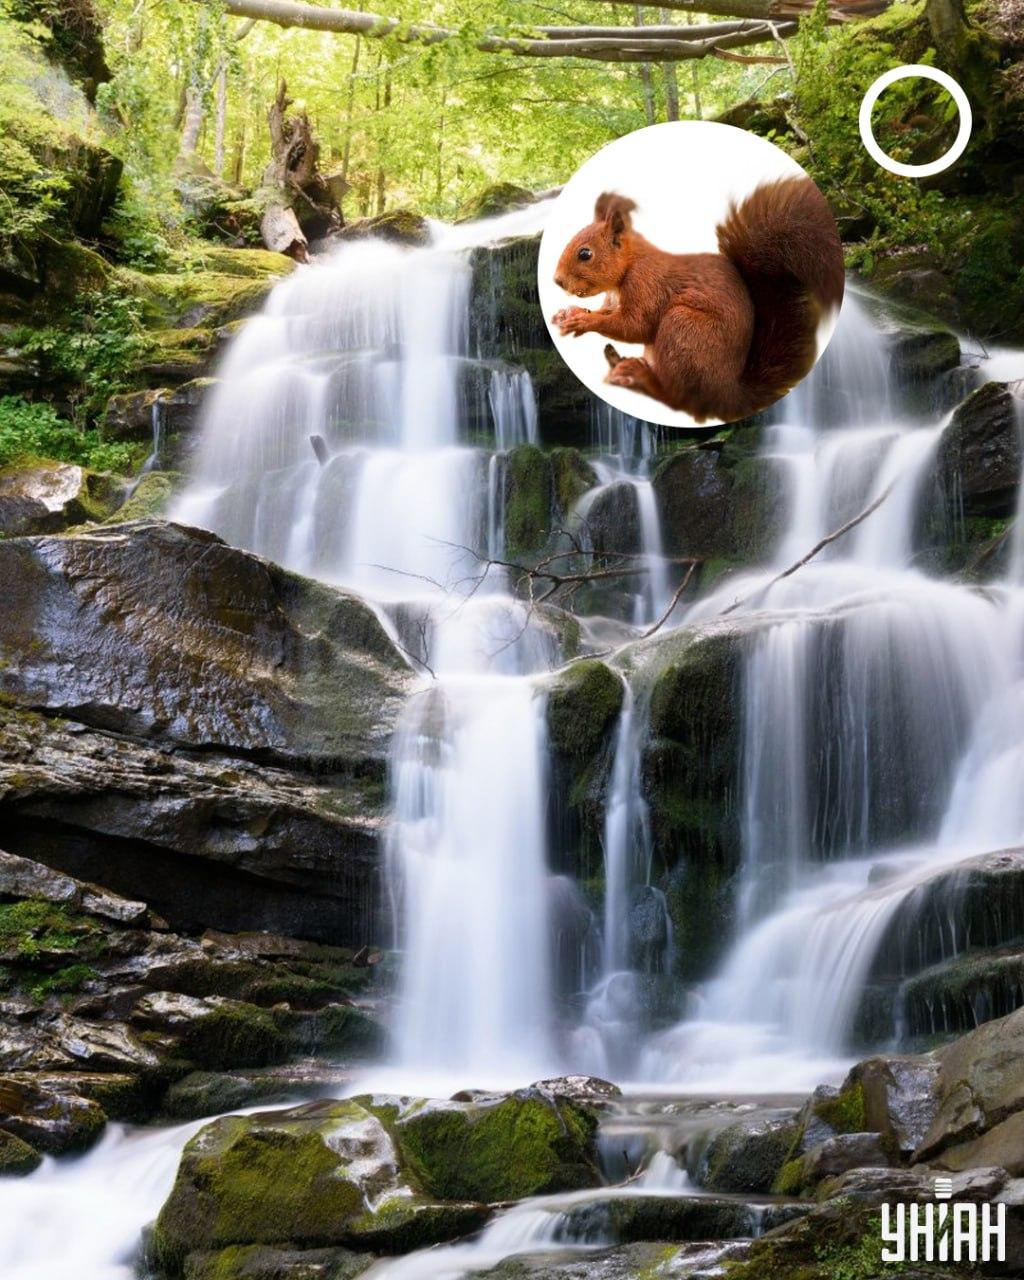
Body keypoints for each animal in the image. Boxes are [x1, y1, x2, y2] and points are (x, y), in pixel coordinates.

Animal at [551, 177, 844, 423]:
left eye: (585, 254)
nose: (557, 281)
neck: (630, 264)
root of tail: (728, 393)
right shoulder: (612, 300)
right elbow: (607, 313)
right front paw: (571, 313)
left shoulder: (647, 284)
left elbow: (635, 326)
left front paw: (582, 321)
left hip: (683, 328)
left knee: (679, 400)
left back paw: (640, 377)